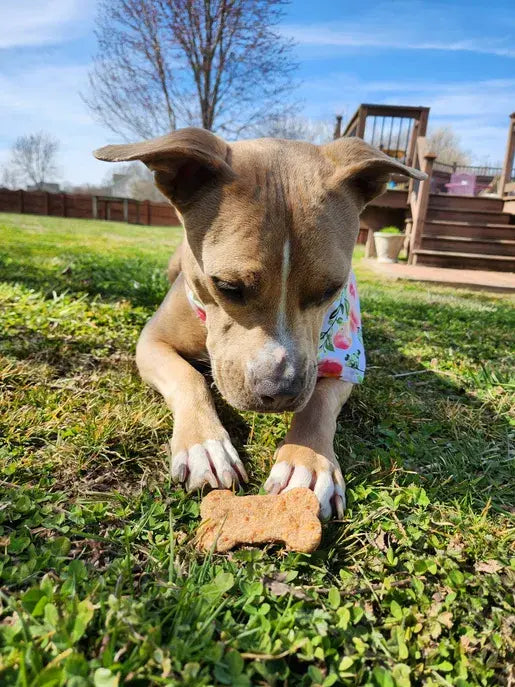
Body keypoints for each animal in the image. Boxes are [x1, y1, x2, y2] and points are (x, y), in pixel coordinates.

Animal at [94, 129, 426, 520]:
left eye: (330, 289)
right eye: (227, 286)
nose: (280, 390)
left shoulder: (346, 365)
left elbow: (319, 402)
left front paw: (307, 463)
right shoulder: (151, 341)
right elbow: (188, 378)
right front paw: (205, 445)